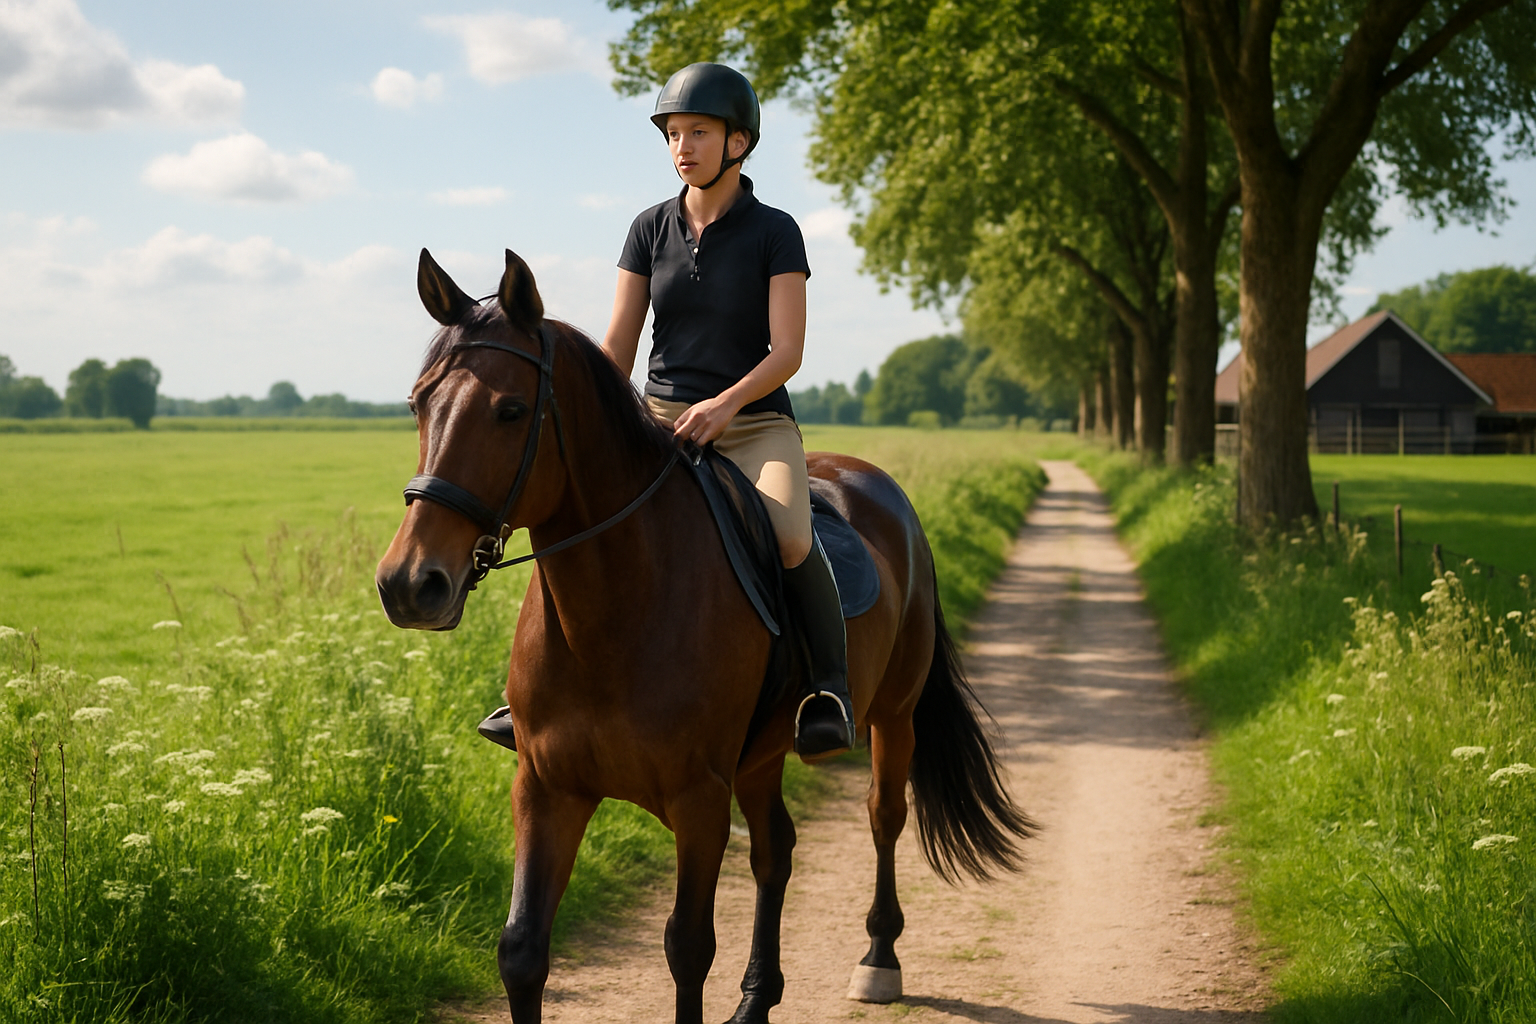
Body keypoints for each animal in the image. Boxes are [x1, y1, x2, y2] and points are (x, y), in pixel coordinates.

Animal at [375, 248, 1035, 1024]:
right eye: (419, 404)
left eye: (510, 410)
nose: (409, 583)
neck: (614, 616)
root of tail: (881, 487)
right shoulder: (545, 787)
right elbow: (522, 952)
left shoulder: (698, 799)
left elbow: (688, 948)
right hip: (761, 755)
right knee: (777, 849)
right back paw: (756, 999)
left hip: (890, 718)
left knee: (883, 816)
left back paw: (878, 959)